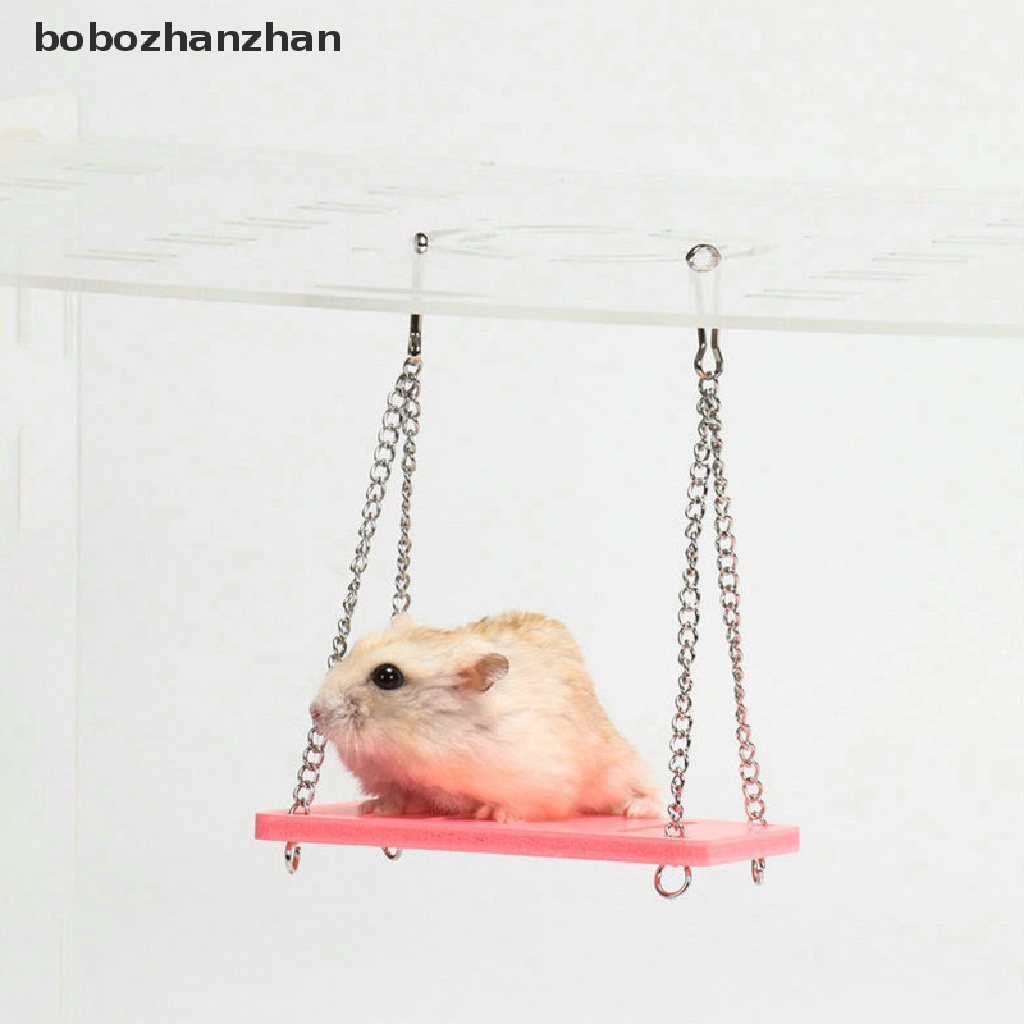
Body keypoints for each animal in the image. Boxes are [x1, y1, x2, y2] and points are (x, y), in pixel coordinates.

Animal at [309, 611, 662, 822]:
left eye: (387, 676)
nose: (314, 713)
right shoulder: (400, 780)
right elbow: (398, 796)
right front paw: (372, 808)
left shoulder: (538, 776)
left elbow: (518, 804)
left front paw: (489, 814)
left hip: (619, 765)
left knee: (649, 792)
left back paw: (634, 810)